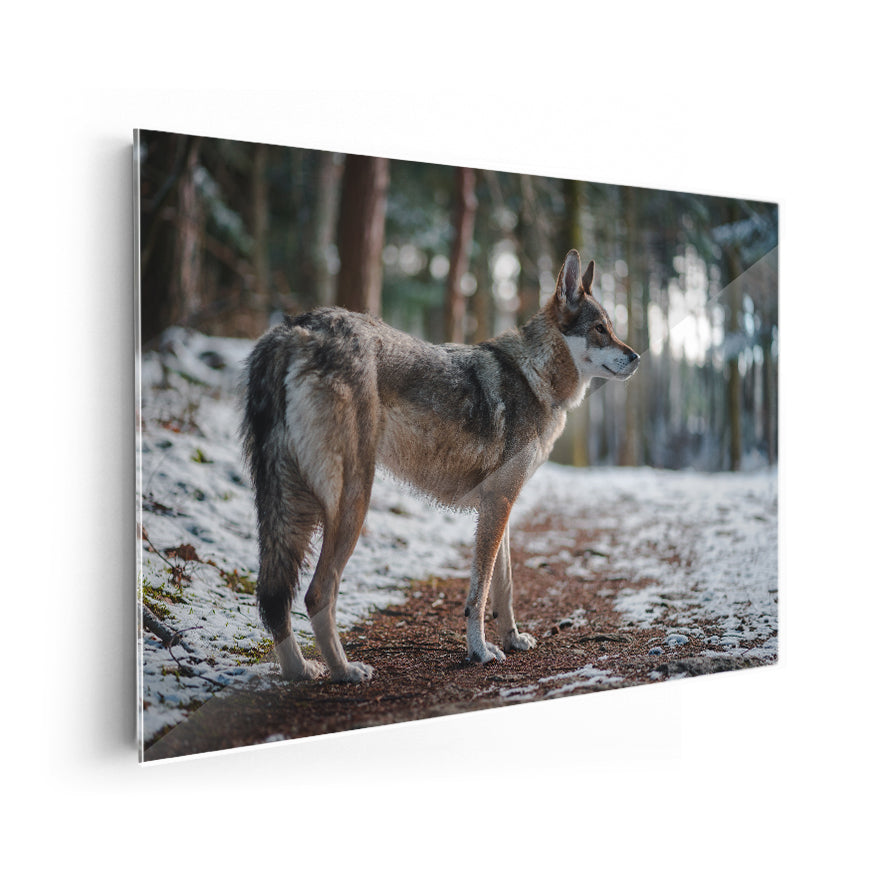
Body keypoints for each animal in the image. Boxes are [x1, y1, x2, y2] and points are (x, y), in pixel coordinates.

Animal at [241, 249, 639, 682]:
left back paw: (299, 669)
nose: (637, 357)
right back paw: (345, 670)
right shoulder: (498, 503)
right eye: (600, 329)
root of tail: (293, 327)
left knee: (273, 596)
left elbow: (504, 587)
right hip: (351, 501)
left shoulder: (500, 504)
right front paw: (480, 651)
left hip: (288, 505)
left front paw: (513, 640)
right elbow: (479, 593)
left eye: (611, 328)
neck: (535, 376)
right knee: (317, 593)